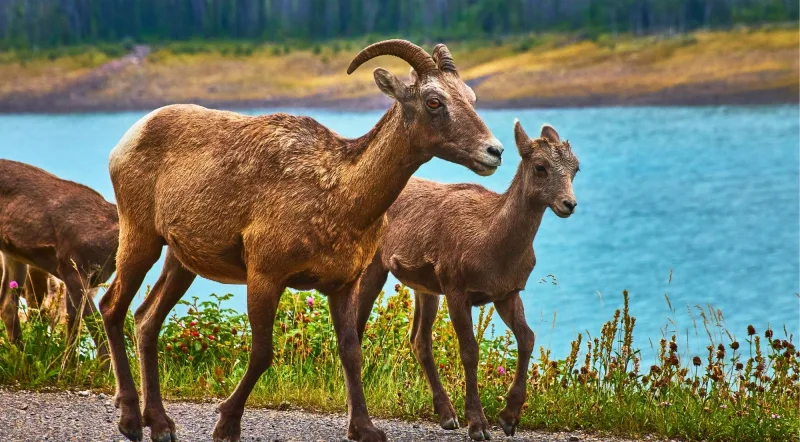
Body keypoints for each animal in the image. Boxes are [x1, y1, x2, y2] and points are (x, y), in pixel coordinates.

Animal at [0, 159, 117, 361]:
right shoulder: (72, 267)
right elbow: (94, 323)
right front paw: (107, 367)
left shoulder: (79, 279)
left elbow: (72, 326)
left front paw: (67, 367)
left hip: (14, 256)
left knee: (7, 305)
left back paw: (24, 360)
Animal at [100, 39, 504, 442]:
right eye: (434, 101)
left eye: (470, 96)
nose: (494, 151)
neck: (342, 198)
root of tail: (127, 140)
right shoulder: (265, 275)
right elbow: (262, 353)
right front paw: (226, 424)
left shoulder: (344, 284)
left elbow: (351, 352)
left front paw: (364, 428)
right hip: (140, 237)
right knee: (112, 308)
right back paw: (131, 421)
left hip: (181, 261)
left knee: (145, 320)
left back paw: (161, 424)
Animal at [353, 121, 579, 440]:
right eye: (540, 167)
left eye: (576, 168)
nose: (569, 204)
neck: (491, 245)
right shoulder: (457, 288)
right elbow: (470, 351)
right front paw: (479, 425)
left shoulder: (507, 293)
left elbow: (527, 338)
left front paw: (509, 418)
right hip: (375, 267)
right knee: (359, 327)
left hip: (426, 289)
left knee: (419, 339)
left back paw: (447, 415)